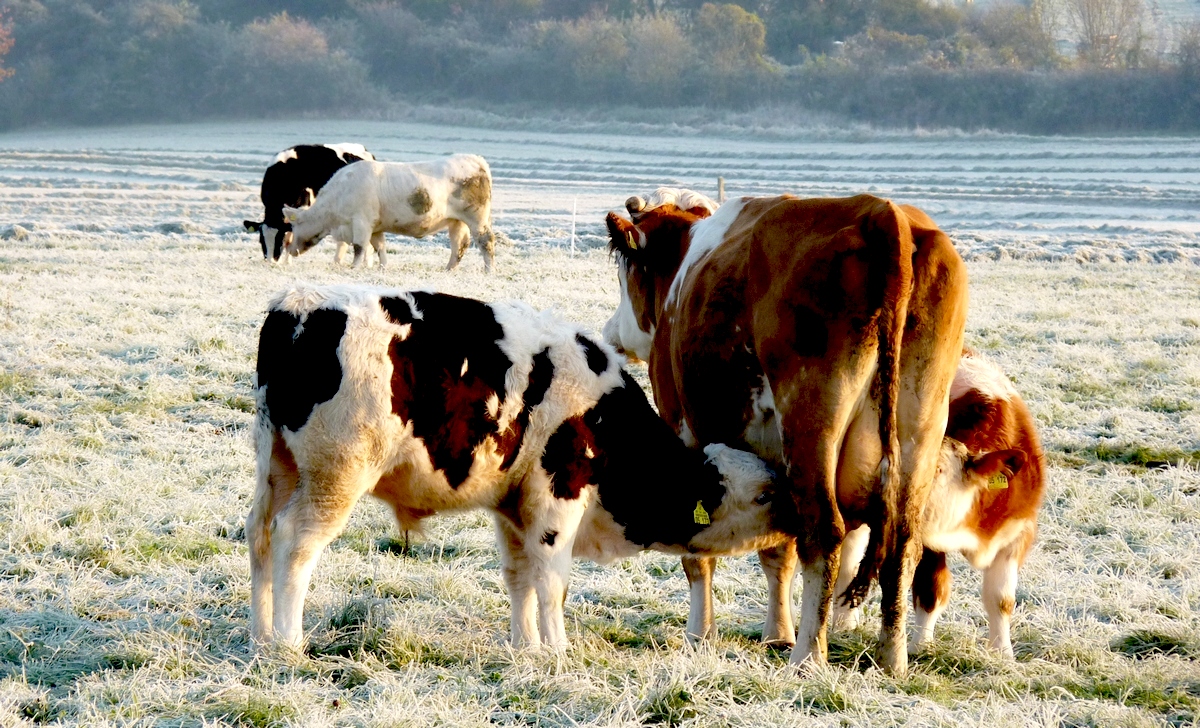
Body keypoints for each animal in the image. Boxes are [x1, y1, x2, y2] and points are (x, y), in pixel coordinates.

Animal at [241, 143, 372, 263]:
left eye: (279, 239)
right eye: (261, 240)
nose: (271, 262)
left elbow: (290, 238)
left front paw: (287, 263)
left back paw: (365, 263)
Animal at [247, 283, 782, 647]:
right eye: (764, 494)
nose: (795, 519)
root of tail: (297, 306)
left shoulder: (513, 506)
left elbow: (520, 576)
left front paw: (526, 648)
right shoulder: (557, 497)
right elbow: (551, 580)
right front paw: (558, 652)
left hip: (278, 467)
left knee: (260, 535)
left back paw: (260, 636)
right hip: (334, 476)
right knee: (295, 542)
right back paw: (288, 643)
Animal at [282, 153, 496, 271]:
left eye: (294, 225)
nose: (290, 249)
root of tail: (475, 159)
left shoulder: (361, 222)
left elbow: (359, 247)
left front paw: (354, 267)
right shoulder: (375, 227)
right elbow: (379, 247)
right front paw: (382, 267)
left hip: (477, 219)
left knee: (486, 241)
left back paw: (488, 270)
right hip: (456, 222)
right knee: (459, 245)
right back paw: (449, 269)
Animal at [604, 190, 969, 676]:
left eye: (625, 275)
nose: (610, 332)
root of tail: (881, 214)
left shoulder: (684, 432)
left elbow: (700, 552)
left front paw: (700, 635)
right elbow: (778, 551)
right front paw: (777, 633)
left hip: (810, 423)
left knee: (825, 532)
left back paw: (808, 657)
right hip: (919, 428)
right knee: (902, 544)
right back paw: (892, 659)